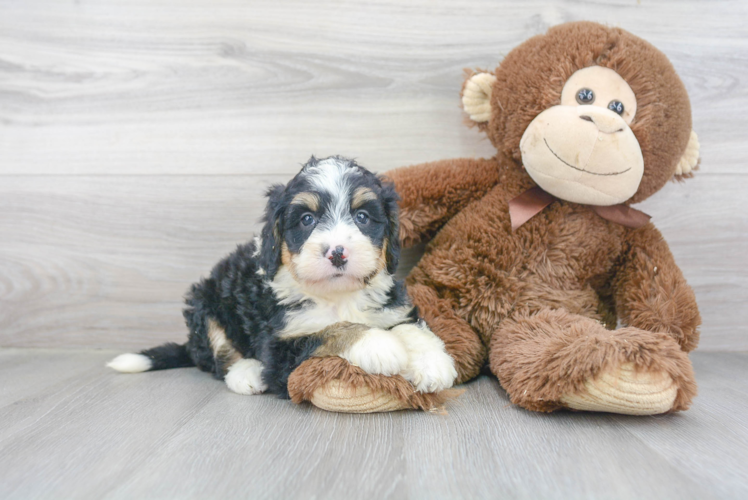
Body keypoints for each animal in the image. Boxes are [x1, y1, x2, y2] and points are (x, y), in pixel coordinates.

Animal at [105, 156, 456, 398]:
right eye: (306, 219)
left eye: (362, 217)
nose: (337, 253)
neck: (338, 296)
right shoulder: (282, 344)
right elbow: (331, 330)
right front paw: (378, 345)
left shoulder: (391, 306)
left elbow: (410, 327)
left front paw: (432, 363)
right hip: (204, 302)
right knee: (217, 357)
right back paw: (246, 373)